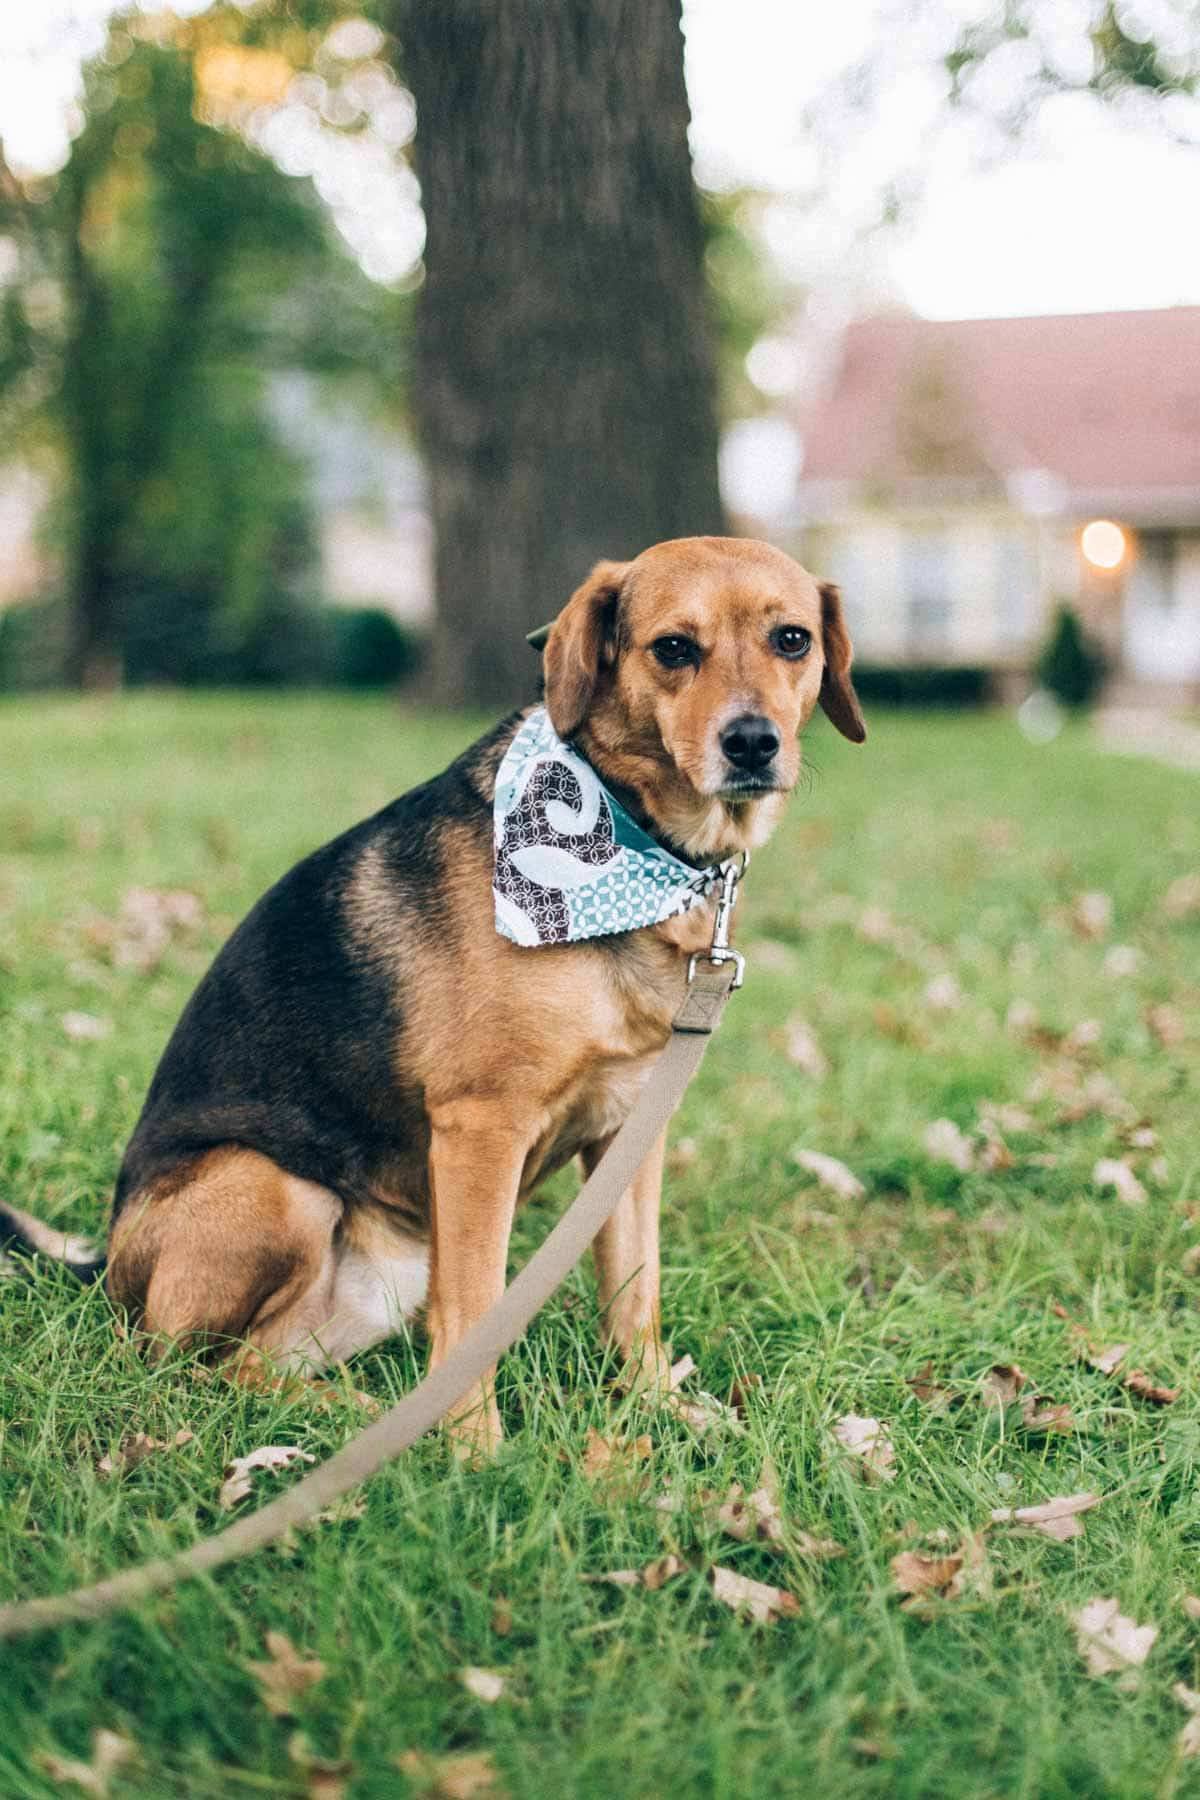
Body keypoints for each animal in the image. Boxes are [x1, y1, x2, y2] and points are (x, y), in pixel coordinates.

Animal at [0, 532, 863, 1447]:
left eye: (792, 640)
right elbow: (476, 1312)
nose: (753, 742)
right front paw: (477, 1453)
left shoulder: (629, 1131)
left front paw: (659, 1411)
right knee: (186, 1369)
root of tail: (105, 1268)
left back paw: (354, 1414)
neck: (631, 841)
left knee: (258, 1365)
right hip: (276, 1189)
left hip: (383, 1272)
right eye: (673, 649)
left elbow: (636, 1291)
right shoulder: (481, 1128)